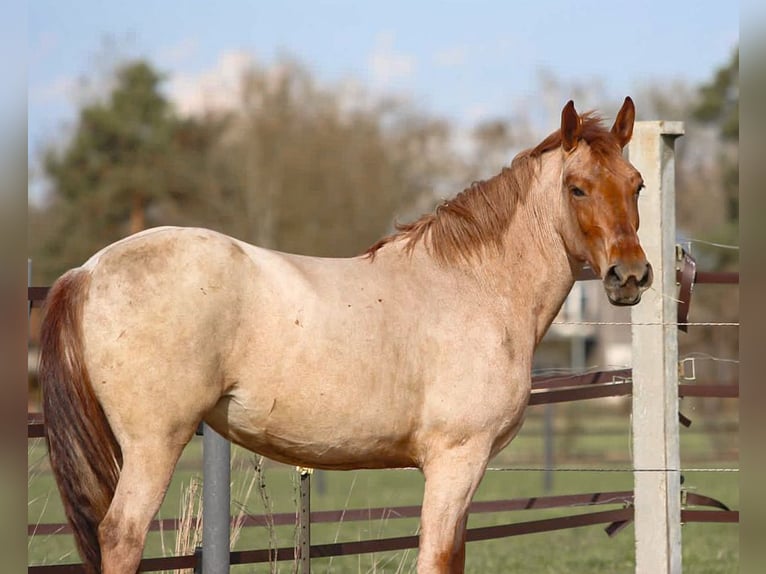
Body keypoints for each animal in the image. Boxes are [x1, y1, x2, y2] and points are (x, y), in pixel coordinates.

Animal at [39, 97, 651, 574]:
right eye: (577, 188)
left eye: (637, 185)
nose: (629, 276)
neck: (474, 285)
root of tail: (87, 270)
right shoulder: (456, 461)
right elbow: (437, 558)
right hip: (154, 444)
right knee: (121, 535)